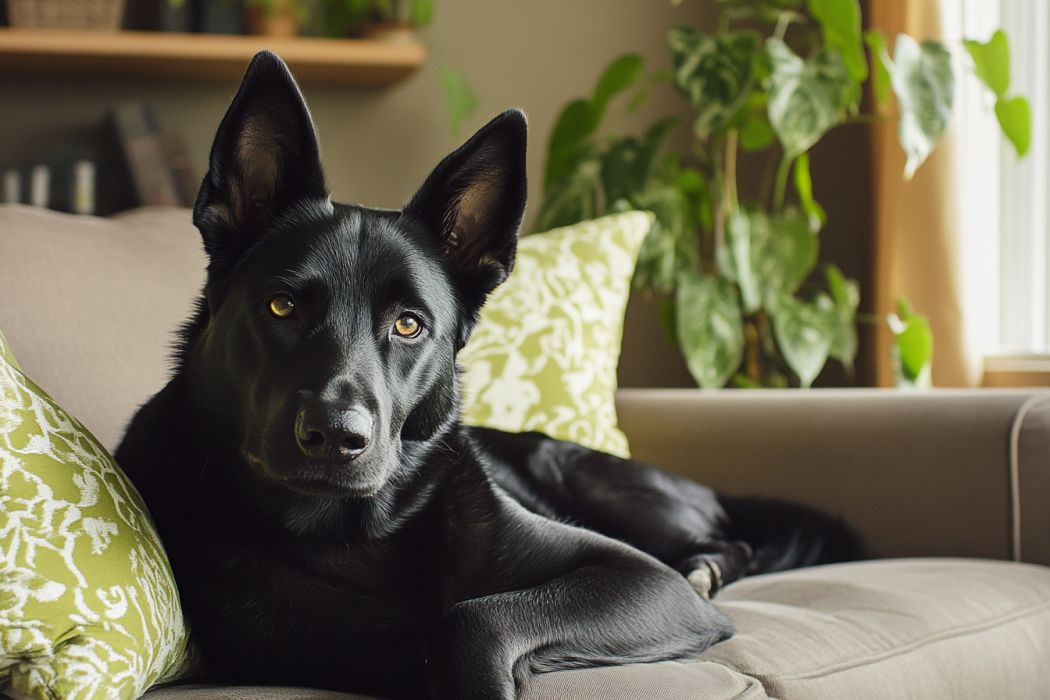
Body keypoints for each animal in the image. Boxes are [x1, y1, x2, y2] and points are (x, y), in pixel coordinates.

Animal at [119, 53, 865, 700]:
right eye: (281, 306)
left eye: (409, 325)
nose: (336, 435)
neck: (354, 533)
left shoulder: (641, 580)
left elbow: (472, 616)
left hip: (595, 482)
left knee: (727, 540)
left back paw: (708, 566)